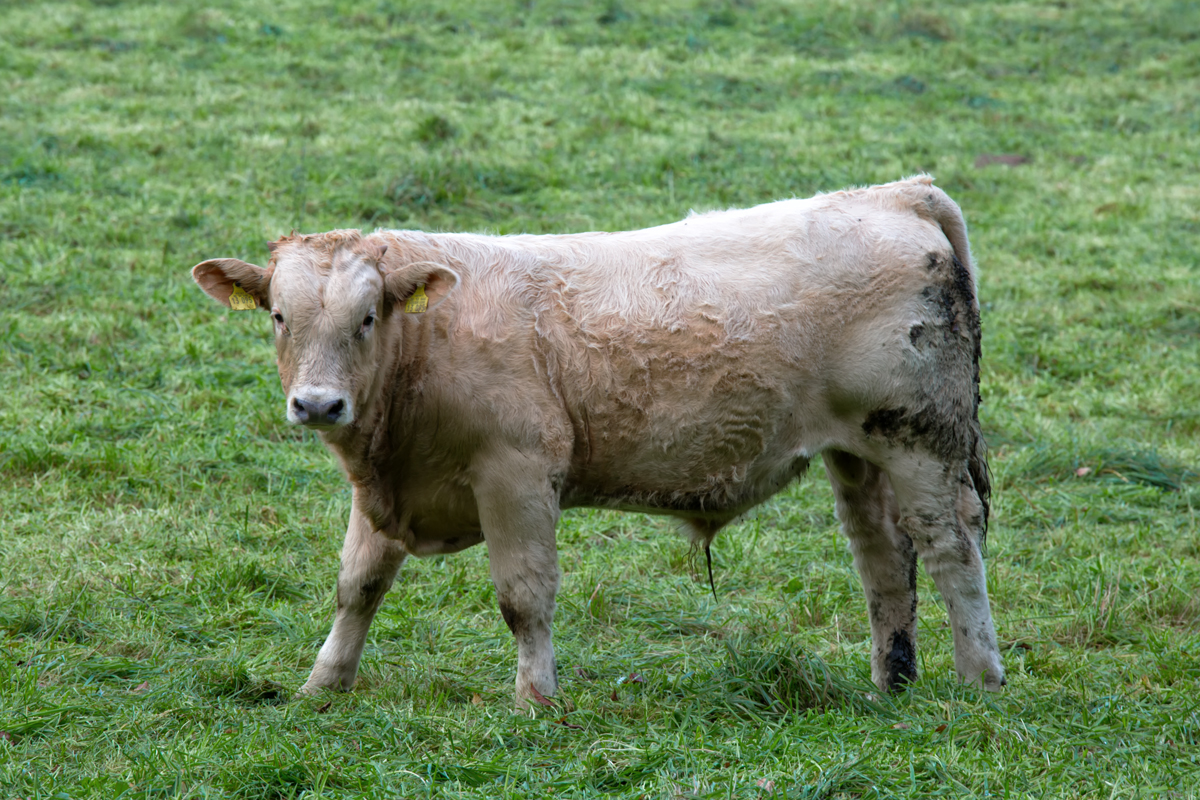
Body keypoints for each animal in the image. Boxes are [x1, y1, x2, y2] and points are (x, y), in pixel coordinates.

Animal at [192, 176, 1008, 705]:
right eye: (279, 317)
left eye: (366, 318)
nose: (319, 404)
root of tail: (895, 192)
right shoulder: (385, 490)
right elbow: (356, 586)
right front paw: (322, 687)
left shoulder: (516, 476)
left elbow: (524, 597)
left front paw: (535, 700)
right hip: (859, 454)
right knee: (884, 560)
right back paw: (891, 682)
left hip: (923, 440)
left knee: (950, 546)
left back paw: (980, 682)